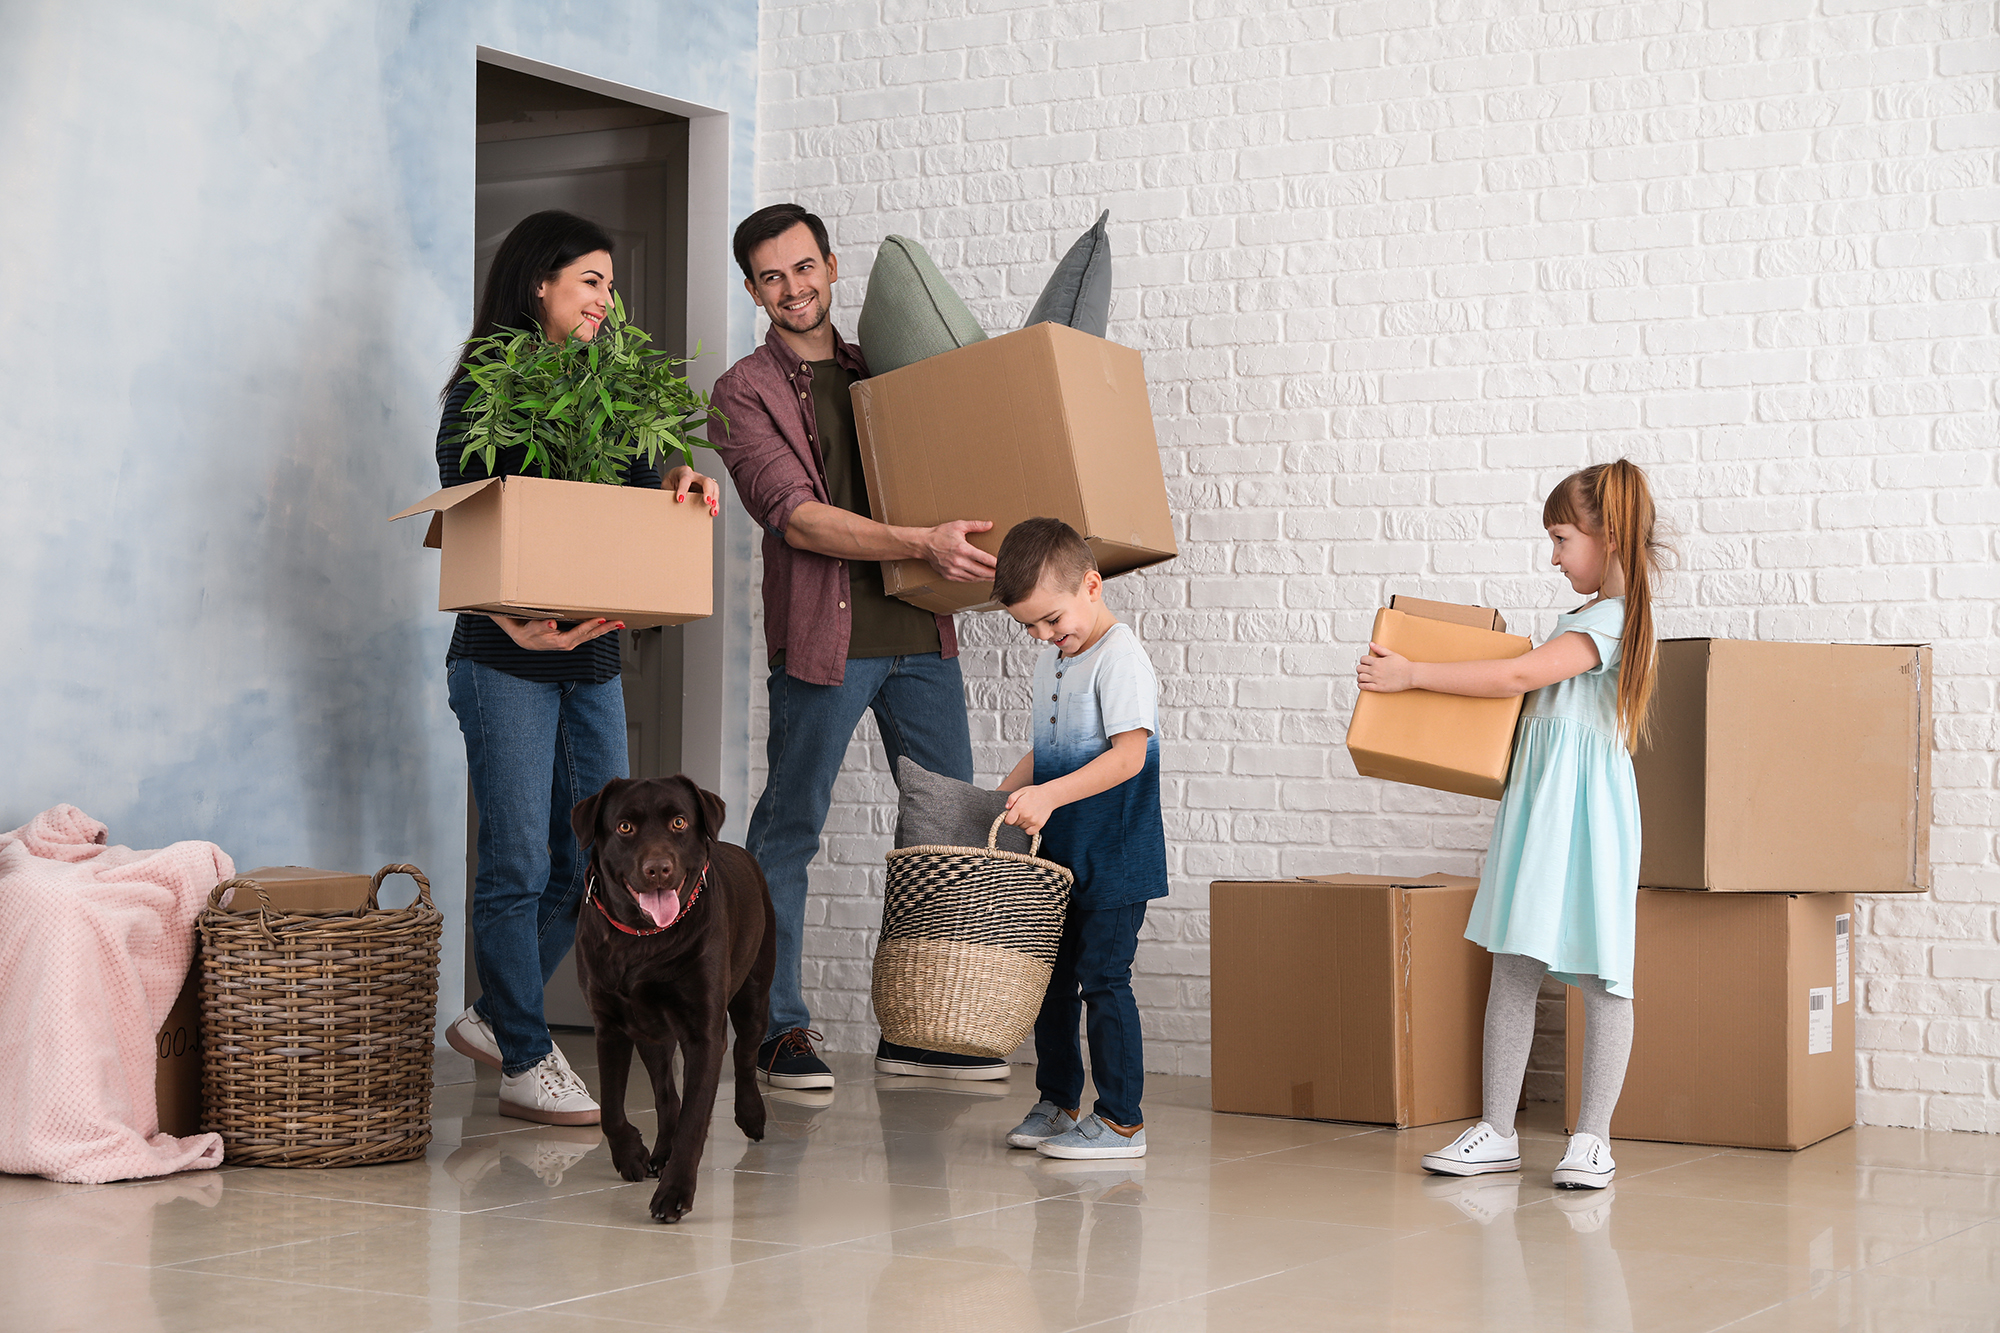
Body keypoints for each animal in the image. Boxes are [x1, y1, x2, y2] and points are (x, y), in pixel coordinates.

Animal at [576, 772, 776, 1216]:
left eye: (679, 823)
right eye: (625, 827)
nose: (657, 869)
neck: (643, 940)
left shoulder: (705, 1034)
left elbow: (694, 1119)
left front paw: (675, 1192)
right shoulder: (610, 1026)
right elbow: (611, 1107)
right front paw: (631, 1154)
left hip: (754, 995)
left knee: (745, 1055)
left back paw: (751, 1114)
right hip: (652, 1033)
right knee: (666, 1093)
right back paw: (659, 1151)